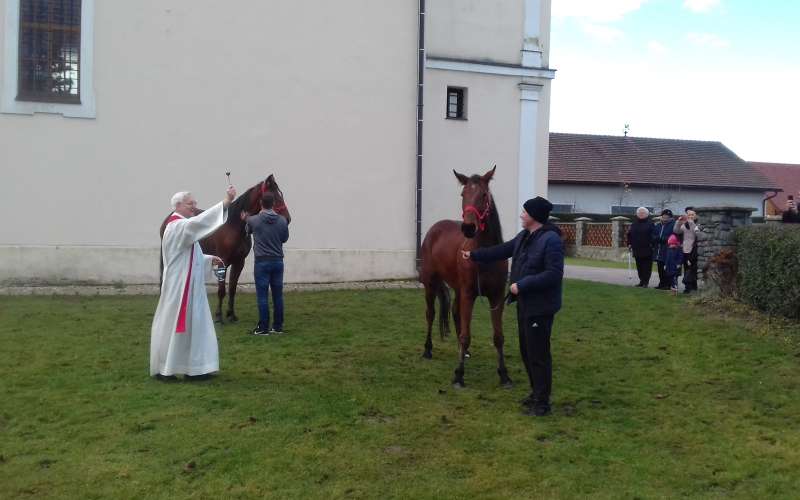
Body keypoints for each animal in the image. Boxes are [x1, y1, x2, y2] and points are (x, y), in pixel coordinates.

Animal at [159, 176, 290, 322]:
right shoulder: (223, 262)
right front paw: (218, 316)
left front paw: (231, 314)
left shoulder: (239, 262)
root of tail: (171, 215)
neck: (233, 226)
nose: (287, 219)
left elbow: (232, 288)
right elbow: (221, 290)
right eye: (273, 196)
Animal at [418, 166, 512, 388]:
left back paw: (465, 353)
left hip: (457, 289)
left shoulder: (496, 296)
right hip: (430, 283)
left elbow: (498, 337)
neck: (484, 254)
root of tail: (434, 229)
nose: (469, 228)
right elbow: (465, 335)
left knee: (454, 313)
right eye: (463, 194)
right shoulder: (469, 293)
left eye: (484, 195)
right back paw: (428, 349)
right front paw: (459, 375)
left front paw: (504, 375)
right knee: (431, 314)